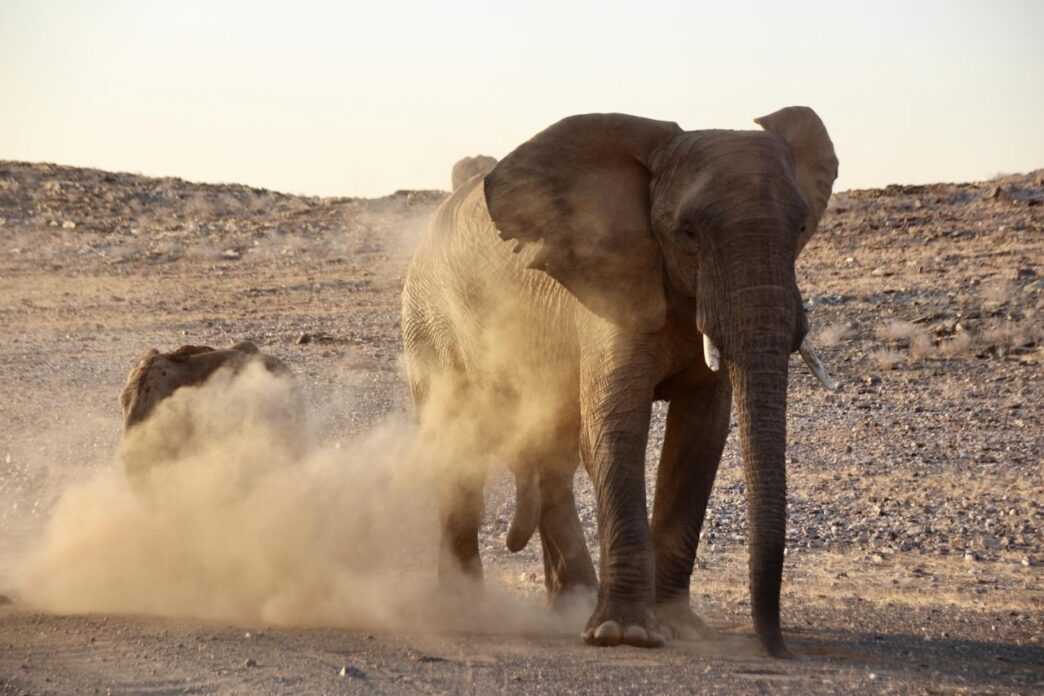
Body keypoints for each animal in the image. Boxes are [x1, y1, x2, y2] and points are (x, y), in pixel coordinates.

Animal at [400, 109, 839, 659]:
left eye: (801, 227)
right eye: (687, 233)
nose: (779, 650)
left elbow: (699, 438)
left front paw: (680, 628)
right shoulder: (608, 286)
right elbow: (617, 427)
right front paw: (626, 634)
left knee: (553, 457)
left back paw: (571, 603)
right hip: (429, 318)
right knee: (459, 439)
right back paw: (466, 610)